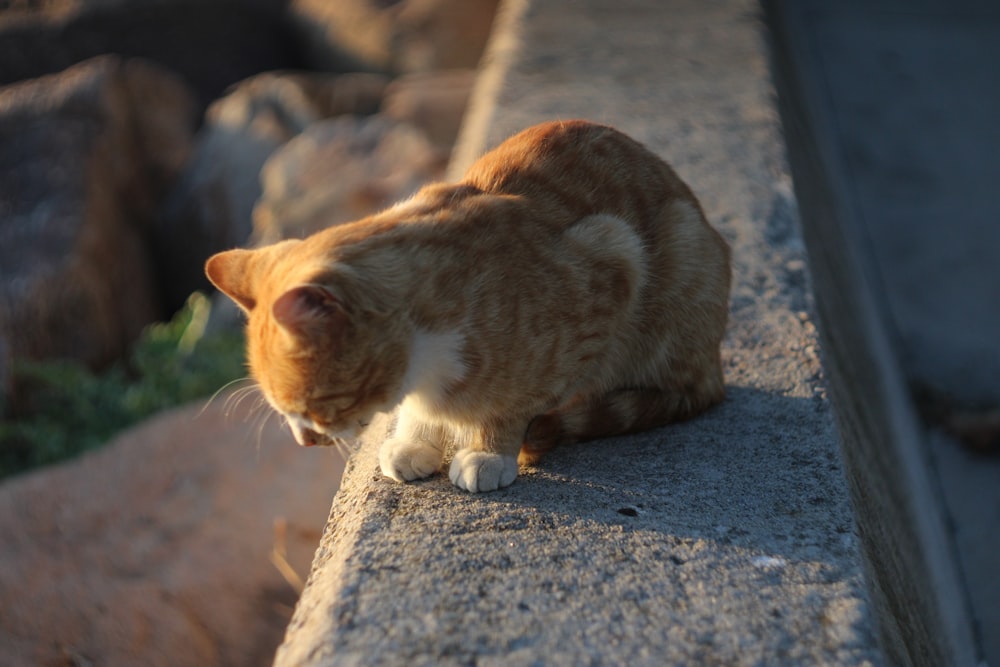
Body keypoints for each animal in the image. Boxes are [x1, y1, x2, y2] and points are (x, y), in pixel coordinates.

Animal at [207, 120, 732, 490]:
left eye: (310, 405)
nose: (304, 441)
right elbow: (424, 413)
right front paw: (416, 440)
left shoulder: (613, 257)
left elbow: (514, 402)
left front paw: (489, 451)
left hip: (680, 260)